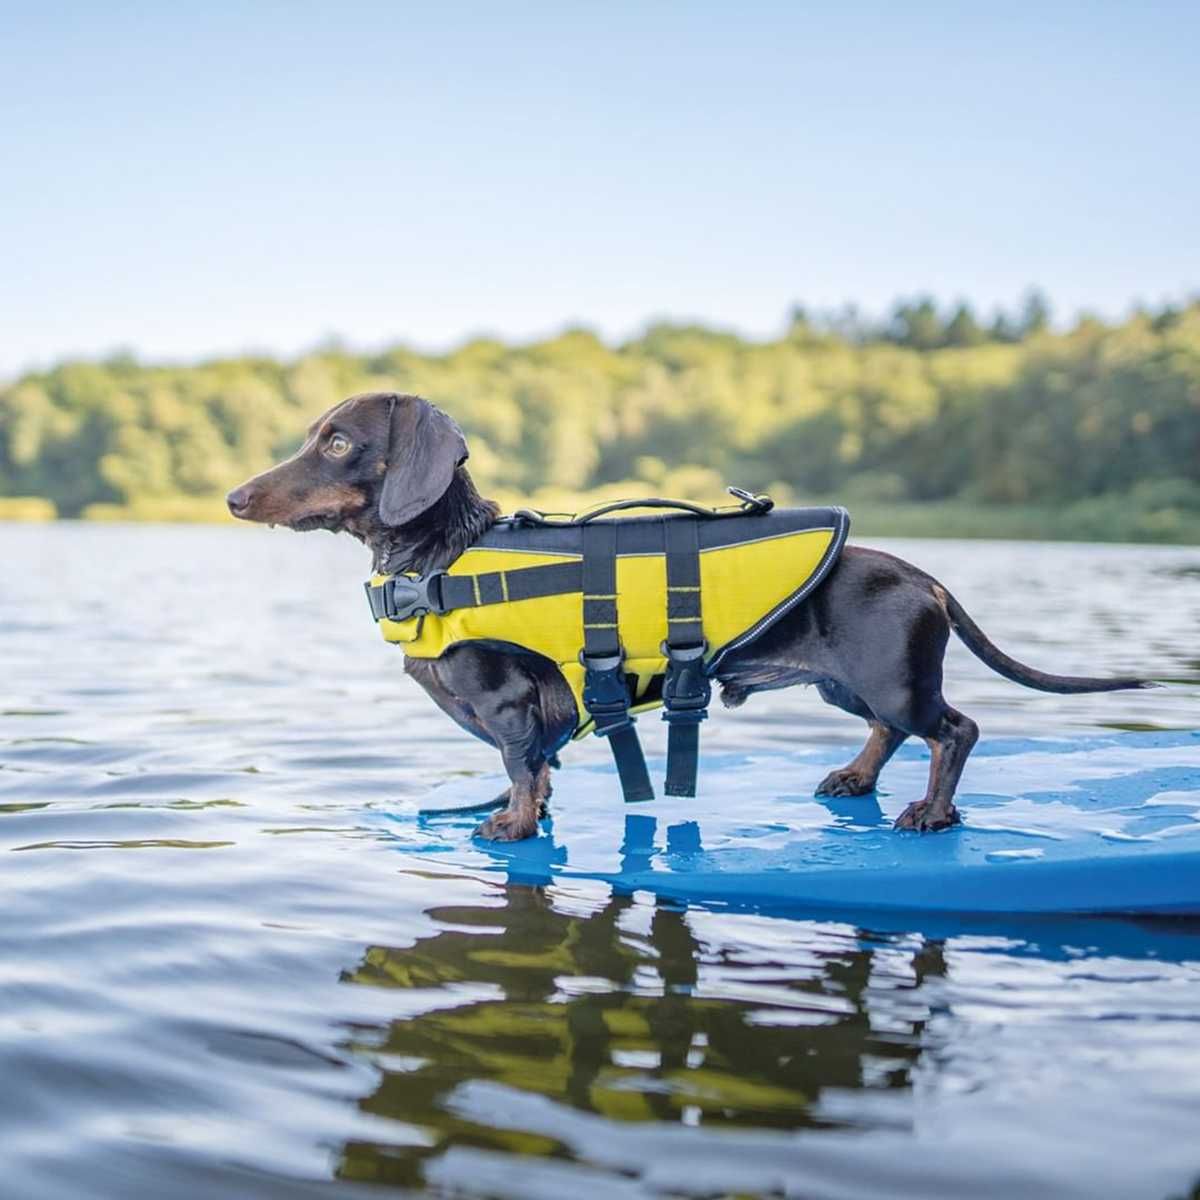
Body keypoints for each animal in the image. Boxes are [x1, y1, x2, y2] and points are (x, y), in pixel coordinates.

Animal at [226, 396, 1152, 844]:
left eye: (338, 442)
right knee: (891, 735)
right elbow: (535, 770)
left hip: (896, 682)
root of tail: (926, 575)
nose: (234, 497)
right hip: (850, 690)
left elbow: (523, 769)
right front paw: (525, 808)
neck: (440, 557)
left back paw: (930, 813)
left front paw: (514, 826)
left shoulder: (508, 705)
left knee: (954, 731)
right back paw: (854, 779)